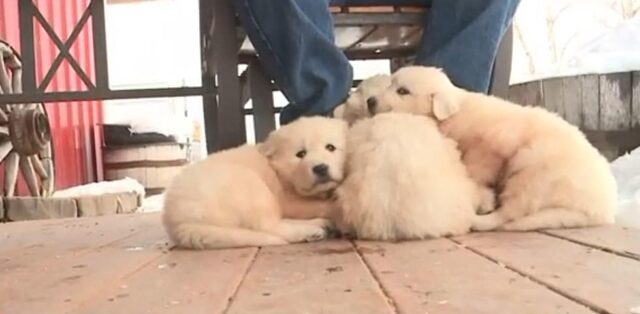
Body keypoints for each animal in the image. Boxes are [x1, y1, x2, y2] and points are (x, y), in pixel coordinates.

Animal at [162, 116, 348, 249]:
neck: (278, 173)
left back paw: (319, 224)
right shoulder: (288, 201)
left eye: (331, 147)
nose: (321, 168)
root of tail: (178, 223)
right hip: (251, 186)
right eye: (301, 154)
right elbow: (318, 205)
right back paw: (312, 230)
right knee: (268, 226)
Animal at [372, 65, 616, 231]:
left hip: (531, 173)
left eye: (403, 91)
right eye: (391, 84)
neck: (455, 113)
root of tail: (600, 211)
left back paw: (477, 219)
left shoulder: (490, 146)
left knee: (508, 214)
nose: (370, 101)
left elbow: (476, 169)